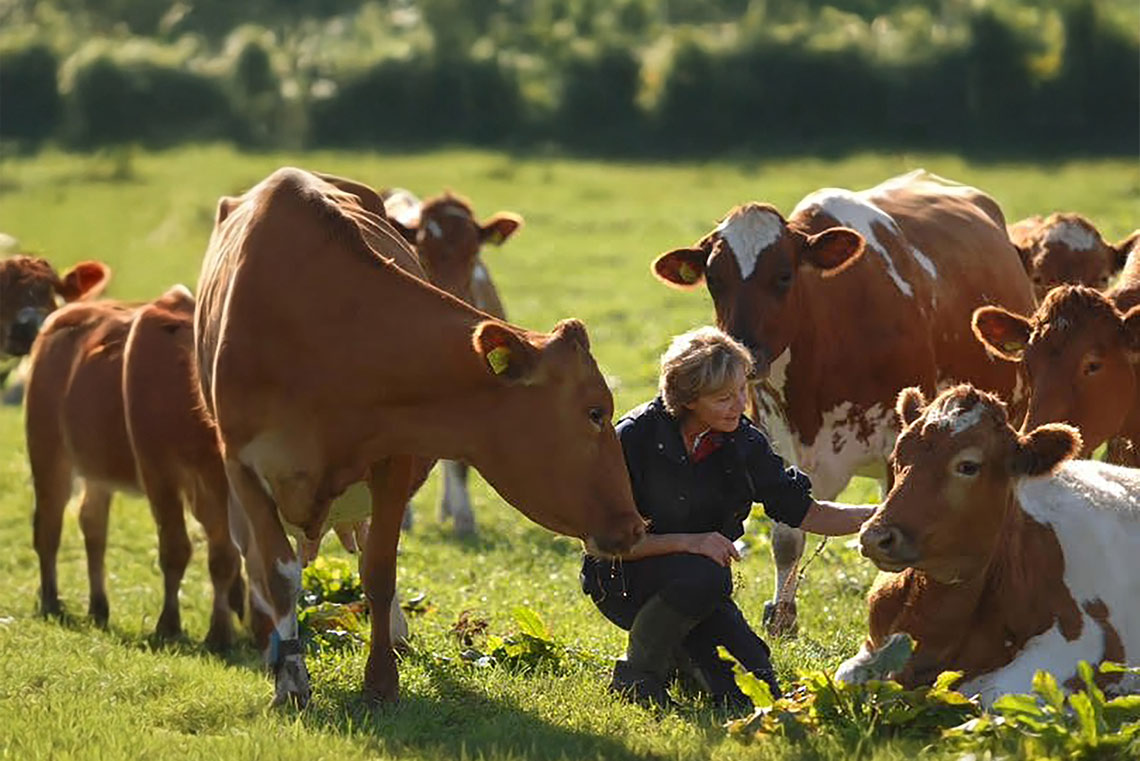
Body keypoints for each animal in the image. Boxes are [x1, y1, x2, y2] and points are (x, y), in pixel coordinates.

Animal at [24, 286, 243, 649]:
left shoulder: (222, 488)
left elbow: (227, 557)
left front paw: (227, 632)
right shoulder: (160, 473)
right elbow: (176, 549)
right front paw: (169, 625)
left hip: (98, 464)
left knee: (92, 523)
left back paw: (98, 607)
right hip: (47, 450)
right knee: (49, 526)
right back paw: (51, 601)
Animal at [652, 169, 1035, 636]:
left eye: (784, 276)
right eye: (714, 280)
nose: (745, 351)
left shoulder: (898, 442)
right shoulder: (773, 440)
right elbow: (787, 535)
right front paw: (782, 616)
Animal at [838, 384, 1140, 706]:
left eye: (968, 466)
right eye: (898, 455)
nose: (874, 536)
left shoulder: (1086, 641)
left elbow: (993, 692)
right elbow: (847, 675)